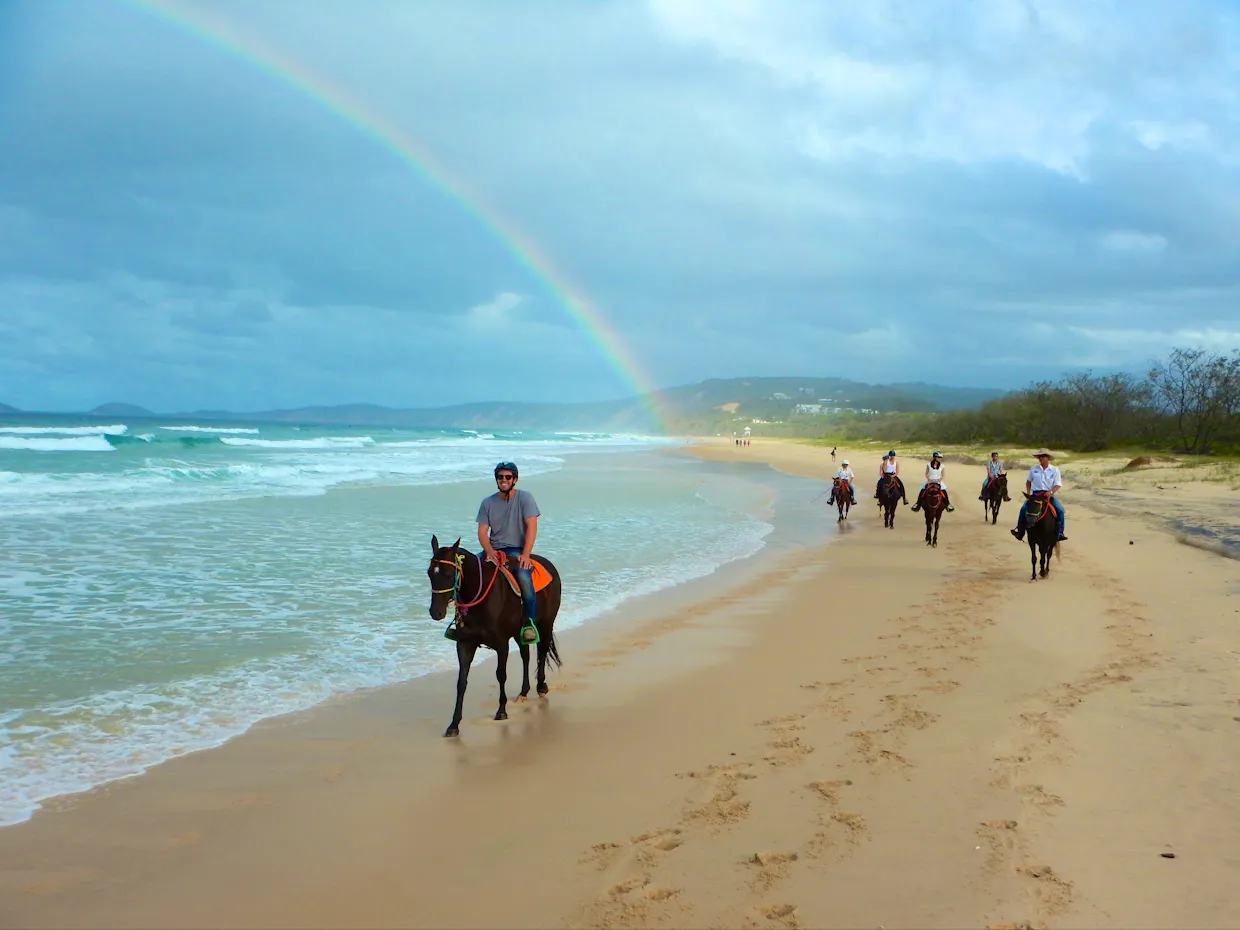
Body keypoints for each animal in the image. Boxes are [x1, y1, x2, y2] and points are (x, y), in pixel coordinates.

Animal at [426, 535, 562, 739]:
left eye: (449, 574)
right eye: (429, 573)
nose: (436, 612)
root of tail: (549, 565)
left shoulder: (501, 643)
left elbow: (501, 675)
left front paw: (501, 711)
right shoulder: (464, 644)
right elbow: (461, 682)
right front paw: (454, 724)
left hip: (546, 624)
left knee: (542, 651)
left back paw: (541, 687)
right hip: (520, 632)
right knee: (526, 656)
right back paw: (523, 692)